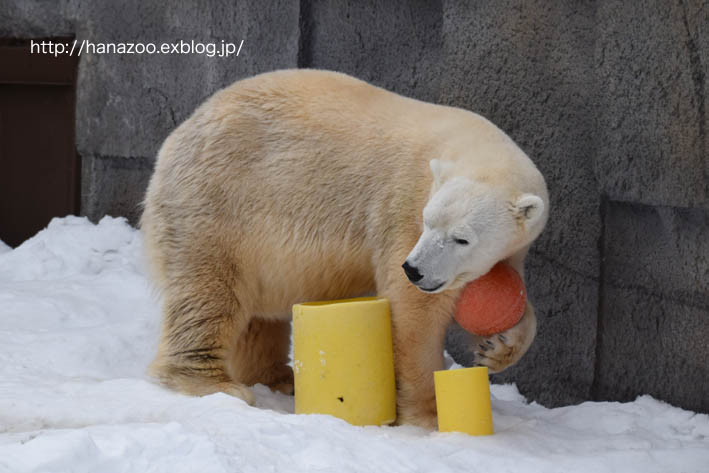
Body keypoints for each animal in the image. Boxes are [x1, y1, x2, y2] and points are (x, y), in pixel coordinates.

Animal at [140, 68, 548, 426]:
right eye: (428, 221)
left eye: (462, 238)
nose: (415, 270)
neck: (465, 144)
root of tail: (178, 135)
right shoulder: (402, 209)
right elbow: (415, 314)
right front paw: (429, 414)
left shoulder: (509, 249)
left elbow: (510, 295)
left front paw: (497, 349)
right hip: (218, 202)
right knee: (208, 292)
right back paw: (214, 383)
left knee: (260, 315)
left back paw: (280, 378)